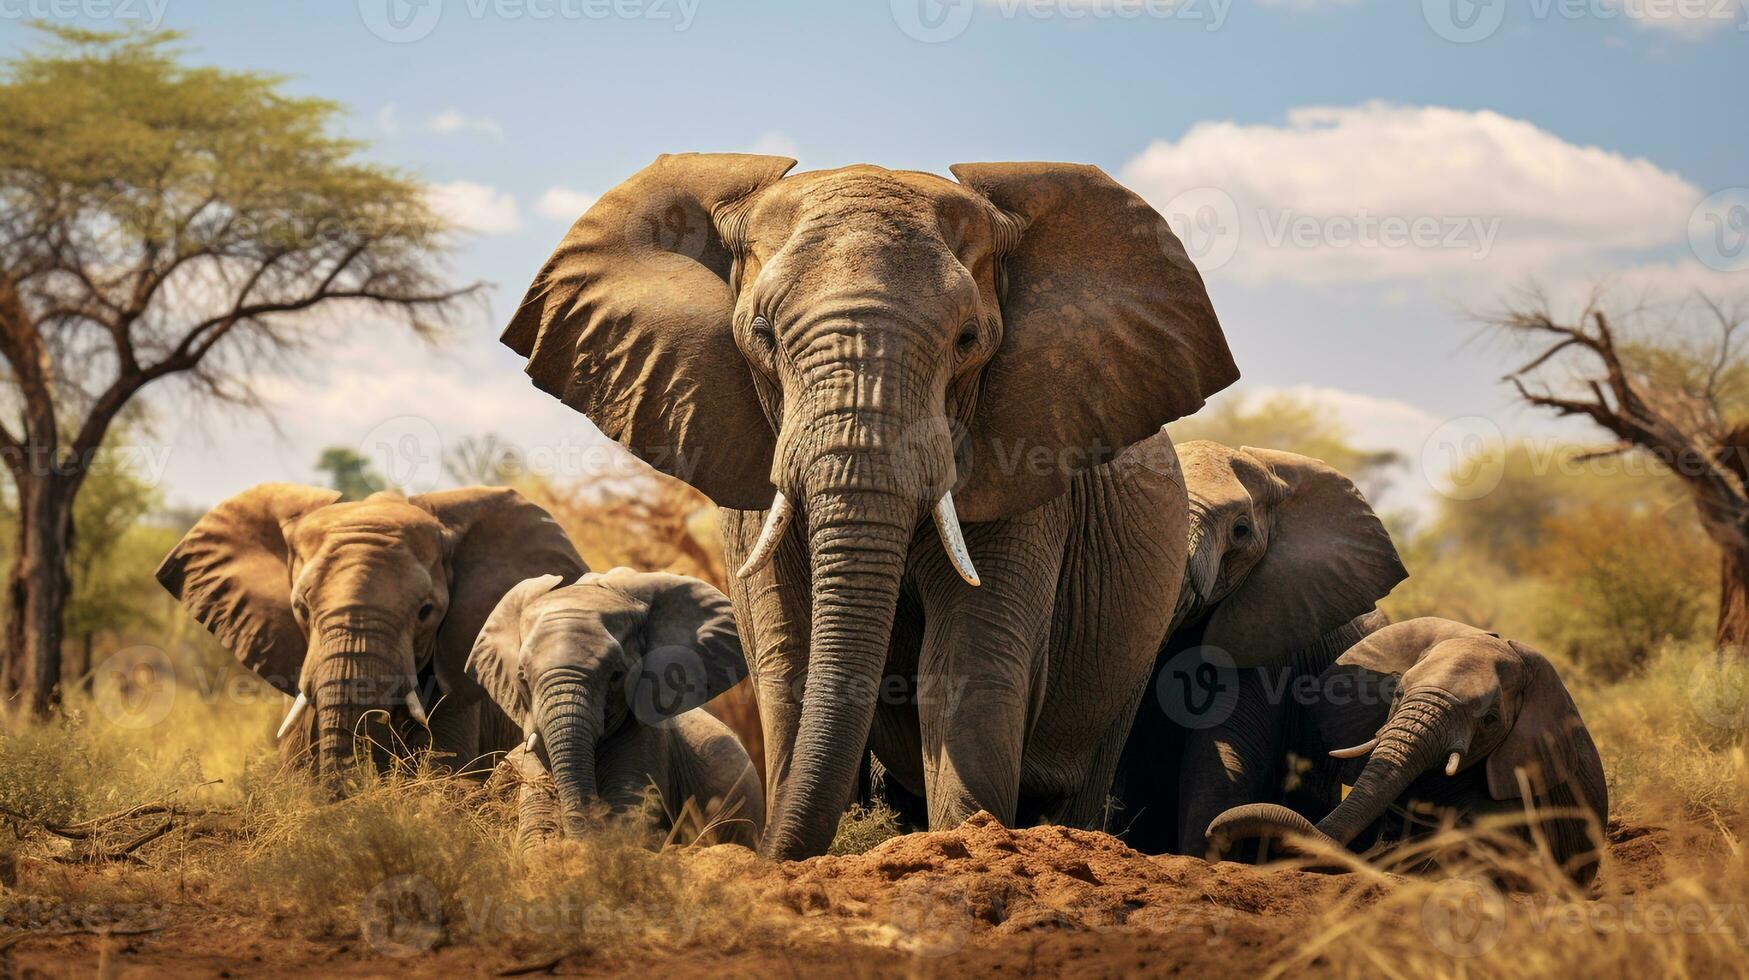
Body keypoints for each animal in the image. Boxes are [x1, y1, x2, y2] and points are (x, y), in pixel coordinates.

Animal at [503, 153, 1245, 857]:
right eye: (762, 334)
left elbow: (969, 660)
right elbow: (789, 655)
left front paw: (964, 845)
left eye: (968, 341)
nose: (764, 854)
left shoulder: (1028, 466)